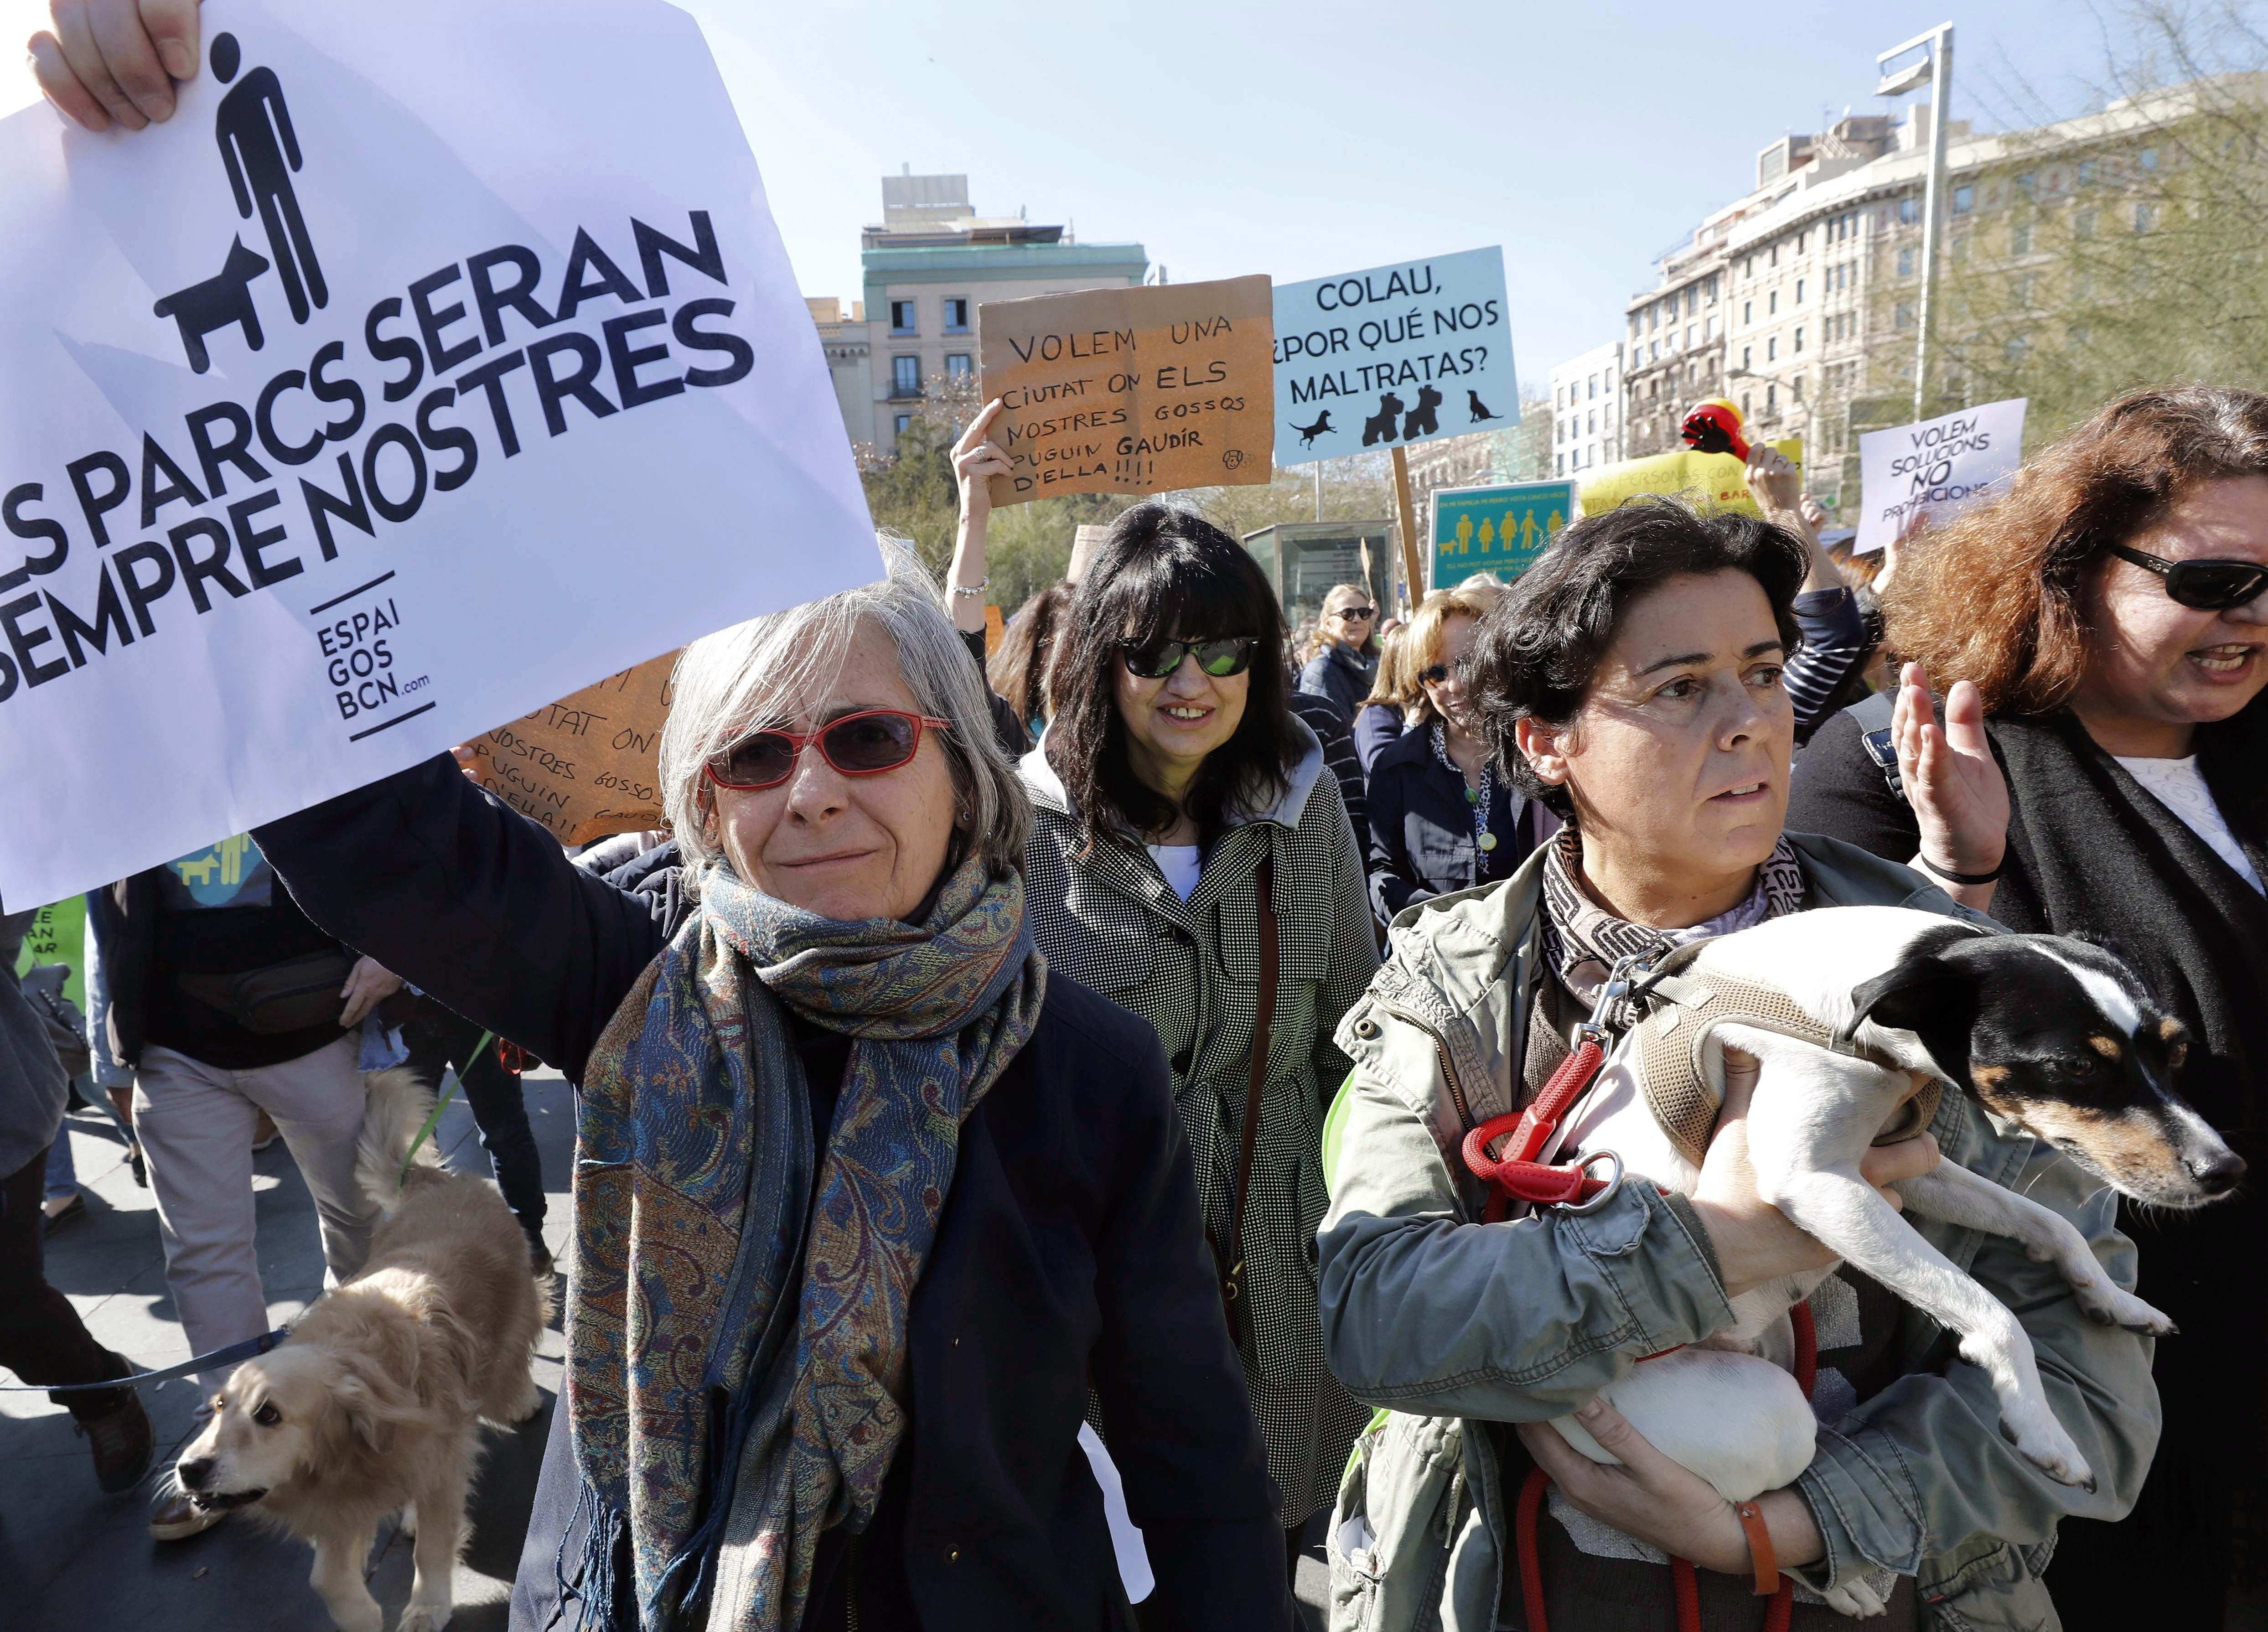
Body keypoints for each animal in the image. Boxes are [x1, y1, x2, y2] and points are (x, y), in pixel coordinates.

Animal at [170, 1070, 551, 1632]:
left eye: (269, 1414)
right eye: (218, 1407)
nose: (188, 1469)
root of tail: (431, 1179)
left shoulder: (438, 1465)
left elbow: (434, 1546)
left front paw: (427, 1607)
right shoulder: (343, 1498)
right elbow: (327, 1577)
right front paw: (361, 1615)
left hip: (508, 1333)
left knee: (513, 1364)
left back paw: (522, 1398)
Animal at [1533, 911, 2241, 1614]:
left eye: (2176, 1050)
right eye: (2072, 1065)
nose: (2226, 1171)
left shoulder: (1909, 1165)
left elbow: (2051, 1222)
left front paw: (2113, 1298)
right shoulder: (1819, 1184)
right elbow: (1993, 1313)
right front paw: (2041, 1427)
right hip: (1769, 1416)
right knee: (1734, 1515)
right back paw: (1838, 1583)